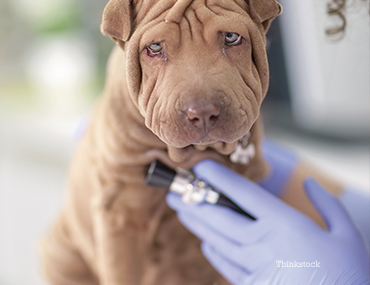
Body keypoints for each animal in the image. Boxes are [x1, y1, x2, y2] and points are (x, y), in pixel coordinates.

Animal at [39, 0, 342, 282]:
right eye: (154, 48)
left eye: (231, 37)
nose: (203, 113)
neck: (190, 154)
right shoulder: (121, 215)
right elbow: (123, 272)